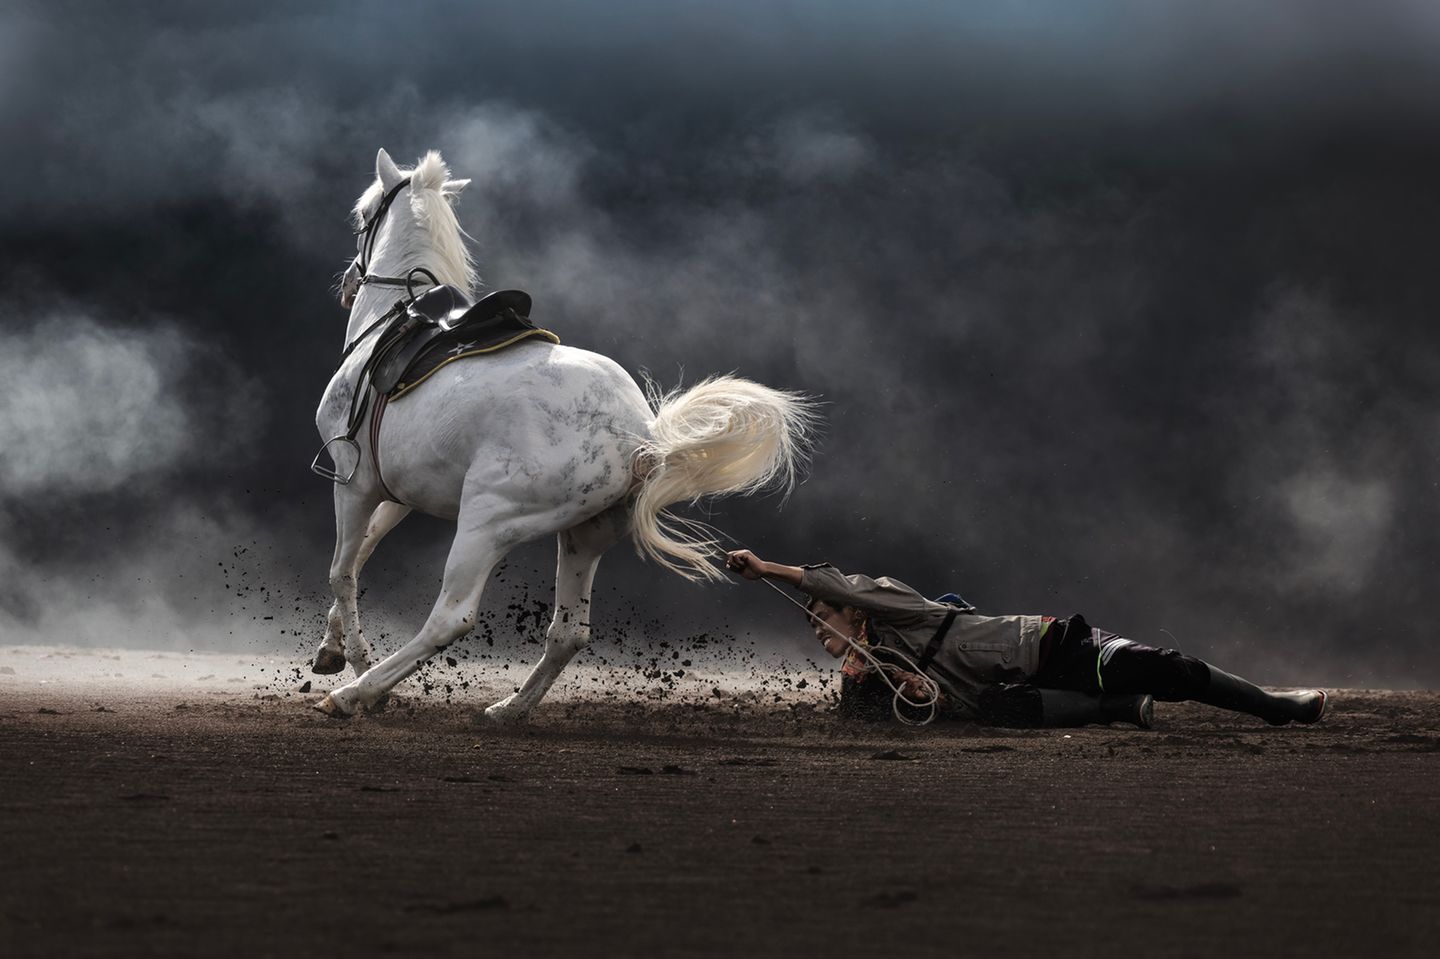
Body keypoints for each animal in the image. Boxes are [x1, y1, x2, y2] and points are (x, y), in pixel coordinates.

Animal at [310, 148, 816, 722]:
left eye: (362, 214)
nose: (347, 284)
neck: (394, 323)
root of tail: (639, 436)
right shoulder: (396, 494)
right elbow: (364, 552)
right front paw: (330, 649)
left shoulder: (353, 482)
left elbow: (343, 571)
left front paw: (352, 659)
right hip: (583, 536)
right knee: (569, 633)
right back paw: (509, 708)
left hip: (485, 524)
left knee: (450, 618)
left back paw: (359, 692)